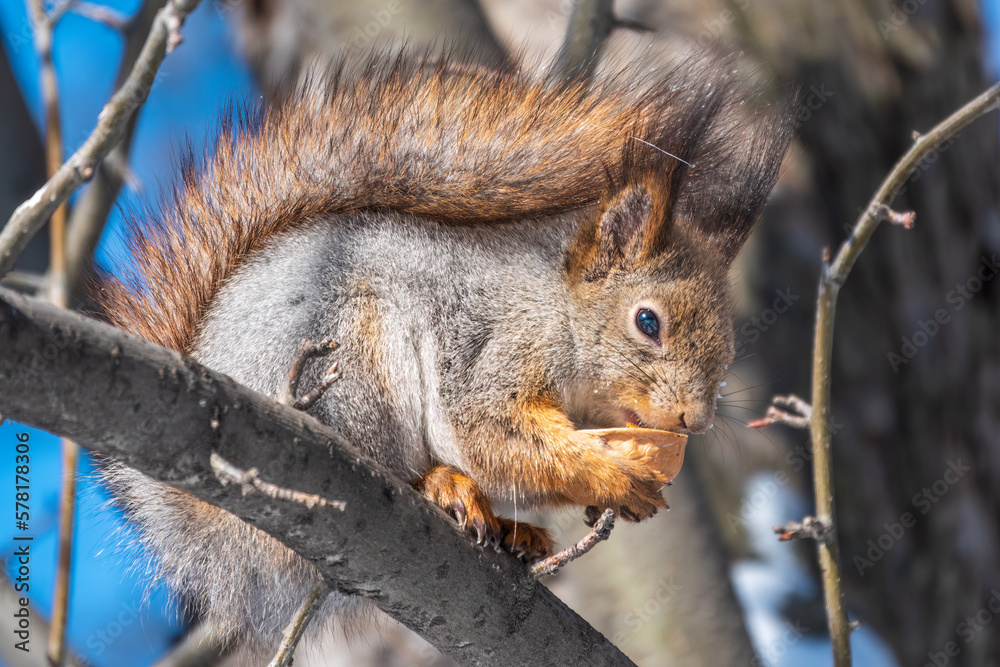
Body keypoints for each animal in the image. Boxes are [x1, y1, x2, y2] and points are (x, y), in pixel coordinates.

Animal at [97, 52, 791, 656]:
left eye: (730, 344)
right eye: (648, 321)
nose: (694, 421)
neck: (556, 308)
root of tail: (211, 519)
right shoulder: (486, 345)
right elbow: (489, 429)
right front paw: (612, 475)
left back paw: (512, 529)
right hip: (351, 369)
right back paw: (441, 485)